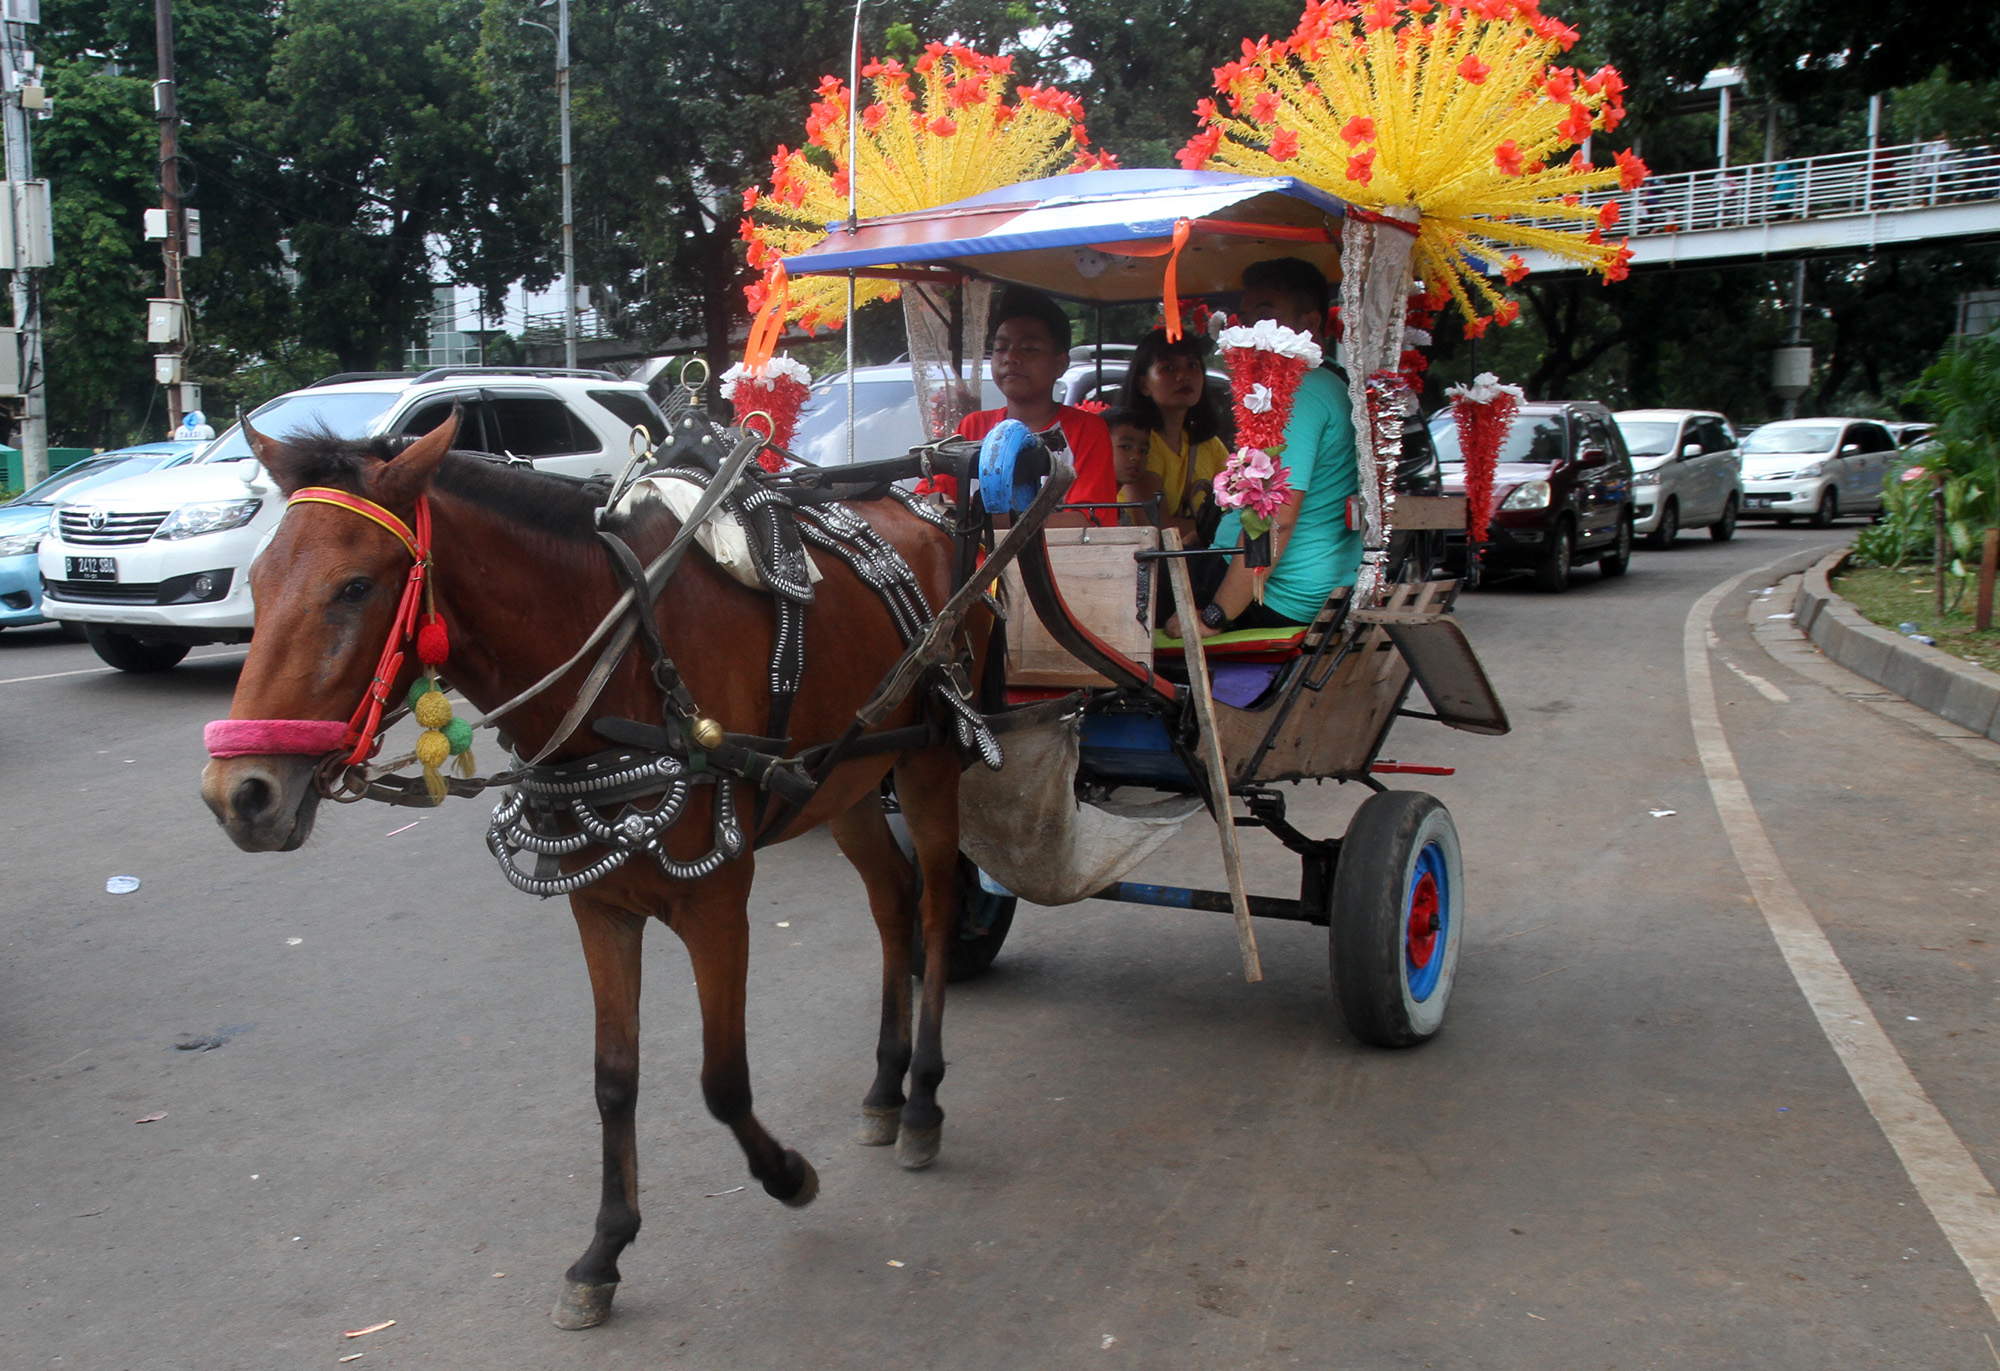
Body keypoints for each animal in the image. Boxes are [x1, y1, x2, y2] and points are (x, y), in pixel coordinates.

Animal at [199, 415, 988, 1335]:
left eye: (355, 587)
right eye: (256, 582)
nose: (239, 794)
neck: (628, 667)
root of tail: (924, 505)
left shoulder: (719, 905)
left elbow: (722, 1081)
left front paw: (788, 1173)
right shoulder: (599, 904)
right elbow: (614, 1078)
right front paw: (604, 1250)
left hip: (930, 761)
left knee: (937, 905)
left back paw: (924, 1097)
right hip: (848, 780)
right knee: (893, 899)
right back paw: (885, 1085)